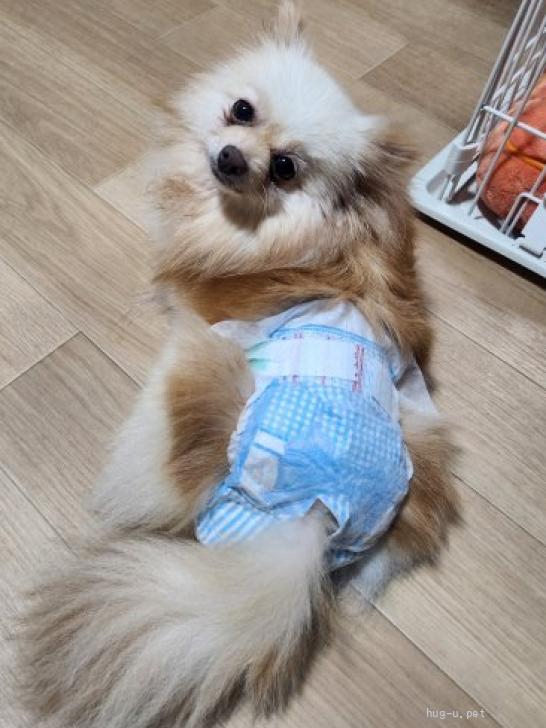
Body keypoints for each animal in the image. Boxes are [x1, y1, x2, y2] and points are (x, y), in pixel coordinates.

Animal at [22, 3, 459, 727]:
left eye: (284, 168)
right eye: (242, 110)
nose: (231, 156)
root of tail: (317, 515)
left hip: (199, 364)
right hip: (424, 435)